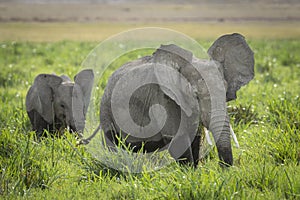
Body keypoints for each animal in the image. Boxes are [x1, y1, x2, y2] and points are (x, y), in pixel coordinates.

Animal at [99, 33, 254, 167]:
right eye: (195, 95)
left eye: (225, 94)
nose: (223, 168)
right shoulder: (164, 99)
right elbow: (178, 141)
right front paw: (189, 173)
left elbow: (196, 139)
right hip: (106, 109)